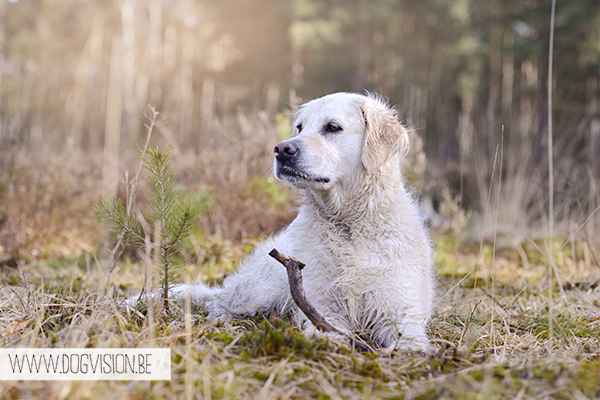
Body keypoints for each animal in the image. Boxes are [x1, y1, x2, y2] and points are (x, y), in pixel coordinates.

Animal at [150, 93, 434, 350]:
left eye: (333, 127)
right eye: (300, 127)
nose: (282, 150)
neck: (348, 225)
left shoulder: (398, 309)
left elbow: (411, 341)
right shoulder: (323, 306)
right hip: (263, 288)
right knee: (219, 301)